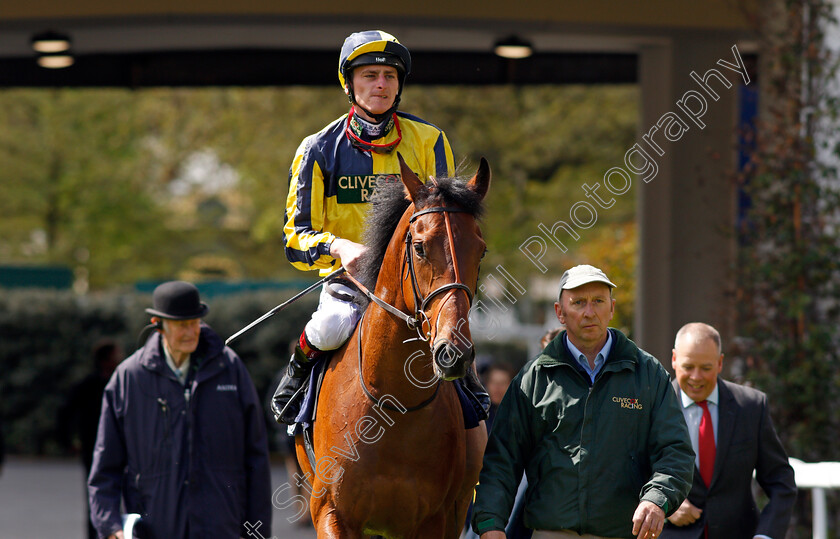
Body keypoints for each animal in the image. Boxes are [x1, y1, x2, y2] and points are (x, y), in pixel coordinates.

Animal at [296, 154, 488, 536]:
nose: (454, 353)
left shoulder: (433, 521)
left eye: (481, 250)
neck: (394, 407)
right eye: (419, 246)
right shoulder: (331, 513)